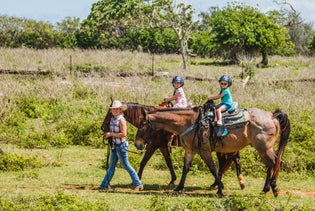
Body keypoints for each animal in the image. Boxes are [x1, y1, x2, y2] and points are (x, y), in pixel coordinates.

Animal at [102, 101, 246, 189]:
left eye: (110, 113)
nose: (103, 127)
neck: (157, 126)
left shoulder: (154, 145)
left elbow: (143, 162)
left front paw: (136, 180)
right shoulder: (162, 146)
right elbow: (169, 162)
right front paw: (173, 180)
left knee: (232, 160)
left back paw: (235, 182)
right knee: (226, 162)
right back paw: (218, 183)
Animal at [136, 99, 292, 197]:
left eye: (142, 124)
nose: (137, 143)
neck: (190, 122)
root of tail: (272, 115)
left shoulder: (204, 151)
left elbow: (212, 168)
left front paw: (220, 189)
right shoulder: (190, 150)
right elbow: (186, 168)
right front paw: (178, 187)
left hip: (263, 148)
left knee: (274, 163)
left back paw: (274, 188)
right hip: (262, 149)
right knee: (272, 164)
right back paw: (265, 189)